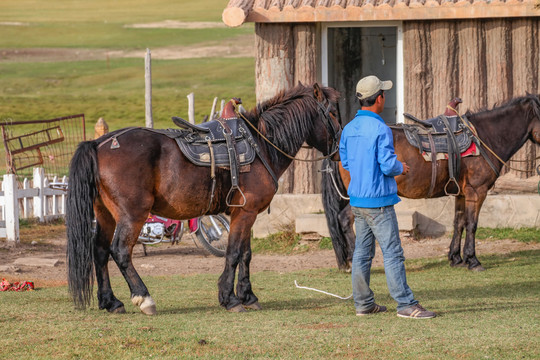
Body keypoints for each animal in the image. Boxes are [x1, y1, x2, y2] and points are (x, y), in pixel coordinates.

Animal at [65, 83, 340, 314]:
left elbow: (246, 254)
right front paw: (230, 299)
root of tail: (99, 144)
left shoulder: (245, 214)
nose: (339, 149)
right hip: (132, 214)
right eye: (333, 113)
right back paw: (144, 298)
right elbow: (233, 253)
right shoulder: (246, 212)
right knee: (120, 252)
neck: (261, 145)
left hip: (105, 214)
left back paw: (110, 302)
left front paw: (248, 296)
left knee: (100, 251)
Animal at [322, 94, 540, 272]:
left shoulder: (461, 193)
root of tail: (340, 143)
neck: (484, 138)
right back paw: (352, 259)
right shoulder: (477, 192)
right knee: (345, 219)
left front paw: (456, 258)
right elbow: (472, 224)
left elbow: (458, 223)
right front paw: (472, 260)